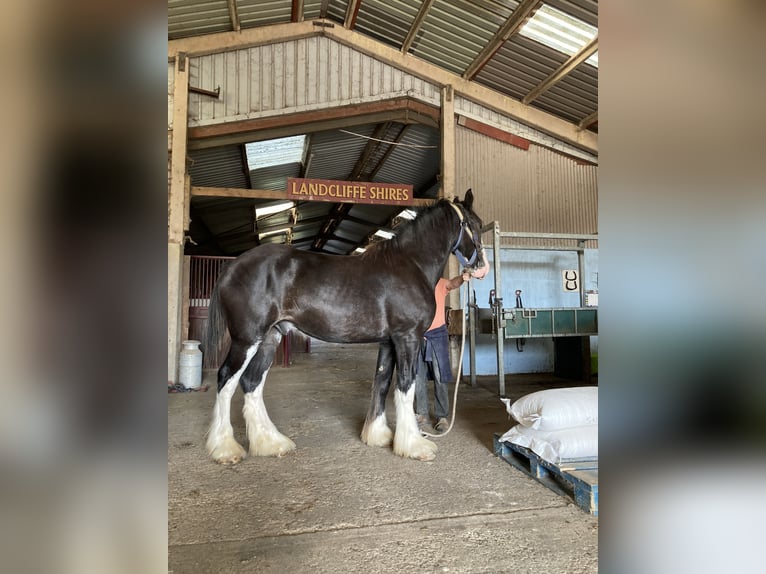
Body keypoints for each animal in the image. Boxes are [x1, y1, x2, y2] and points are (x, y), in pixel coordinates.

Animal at [204, 191, 488, 466]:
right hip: (247, 339)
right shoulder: (407, 337)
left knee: (252, 382)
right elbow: (405, 386)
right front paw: (414, 446)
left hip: (269, 337)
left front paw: (378, 436)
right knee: (226, 379)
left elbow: (382, 381)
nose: (482, 268)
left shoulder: (388, 341)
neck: (410, 263)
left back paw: (271, 443)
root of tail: (232, 266)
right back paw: (225, 449)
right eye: (474, 224)